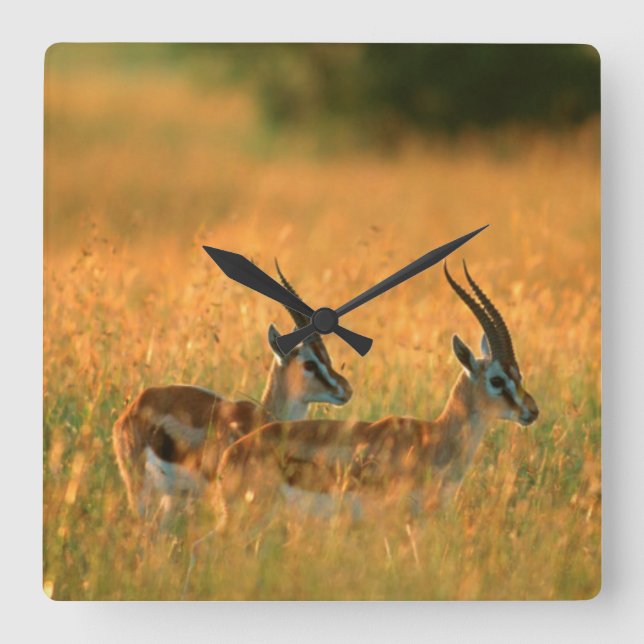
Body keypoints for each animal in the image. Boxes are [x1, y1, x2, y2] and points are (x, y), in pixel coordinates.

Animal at [112, 262, 353, 520]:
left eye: (327, 357)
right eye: (309, 364)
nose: (346, 389)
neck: (261, 418)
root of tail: (135, 405)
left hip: (171, 498)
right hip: (141, 491)